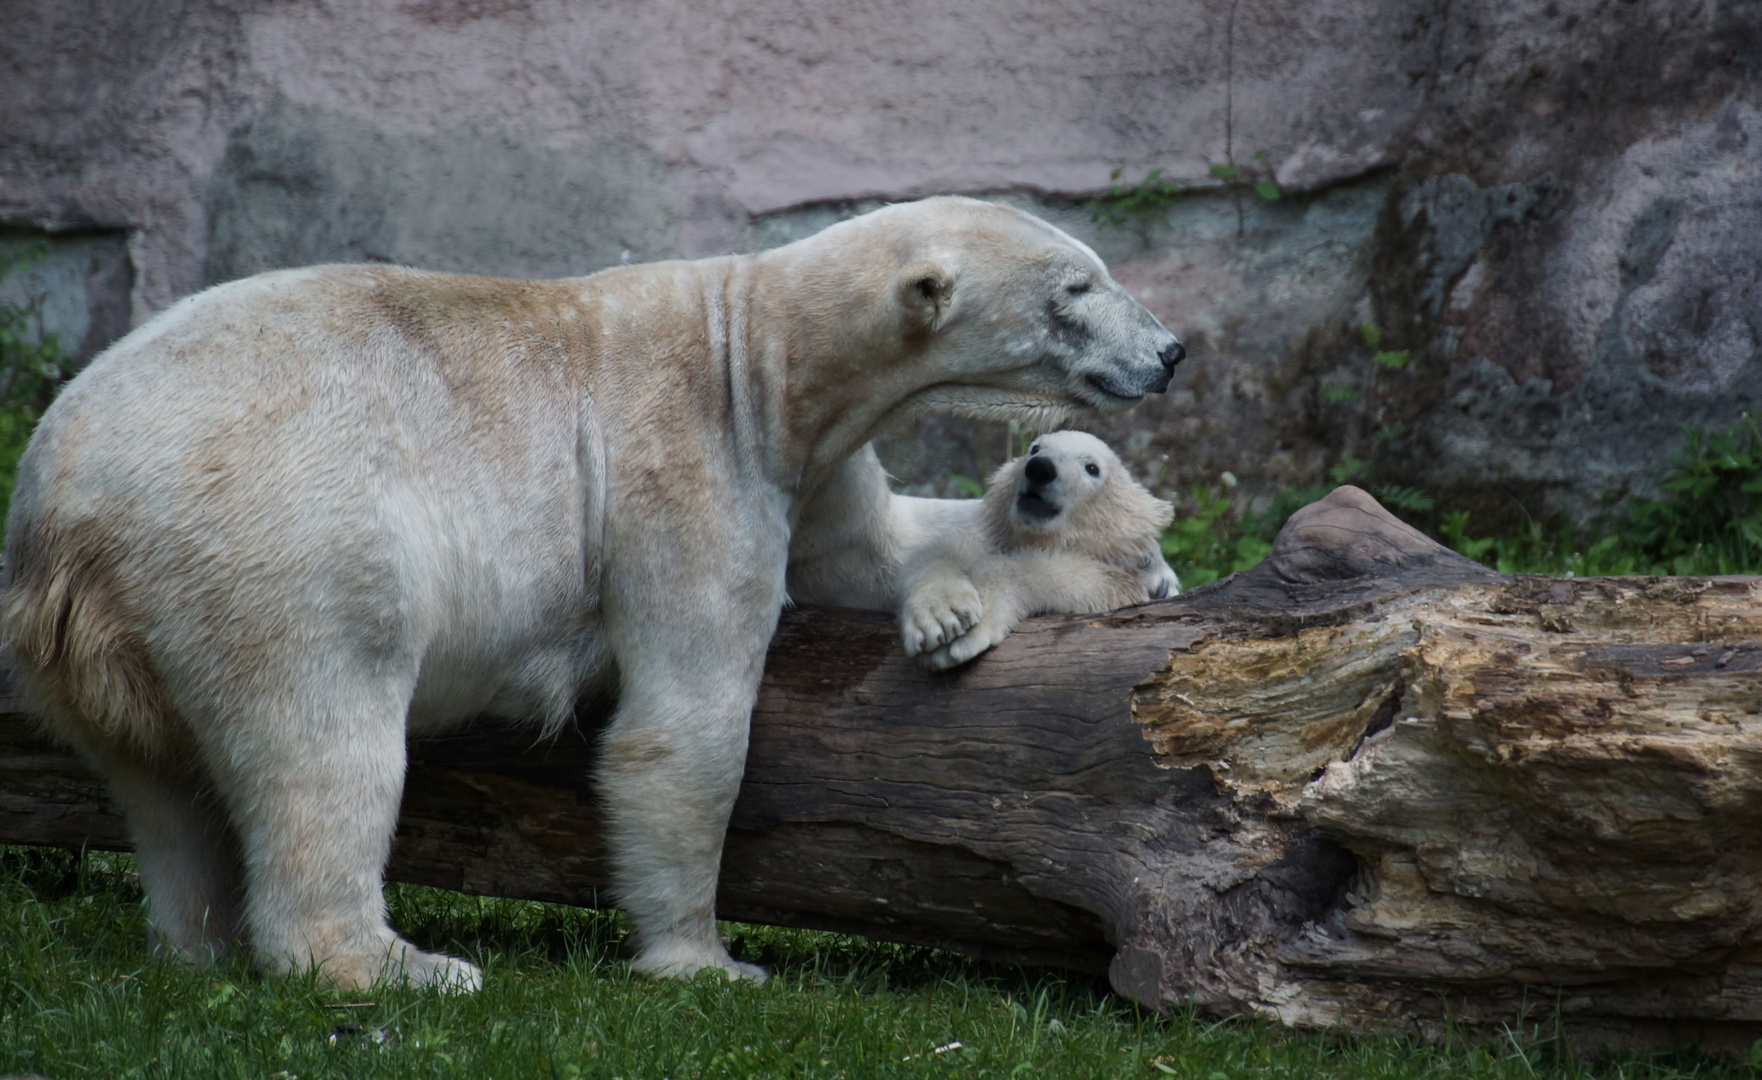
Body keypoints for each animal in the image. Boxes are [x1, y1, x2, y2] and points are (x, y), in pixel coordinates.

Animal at [6, 195, 1184, 993]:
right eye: (1076, 290)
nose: (1171, 351)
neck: (759, 352)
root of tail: (66, 501)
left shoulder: (810, 464)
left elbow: (877, 548)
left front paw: (975, 598)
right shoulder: (686, 466)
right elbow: (683, 726)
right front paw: (708, 963)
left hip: (124, 621)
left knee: (162, 786)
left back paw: (193, 945)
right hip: (280, 536)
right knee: (323, 737)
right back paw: (396, 964)